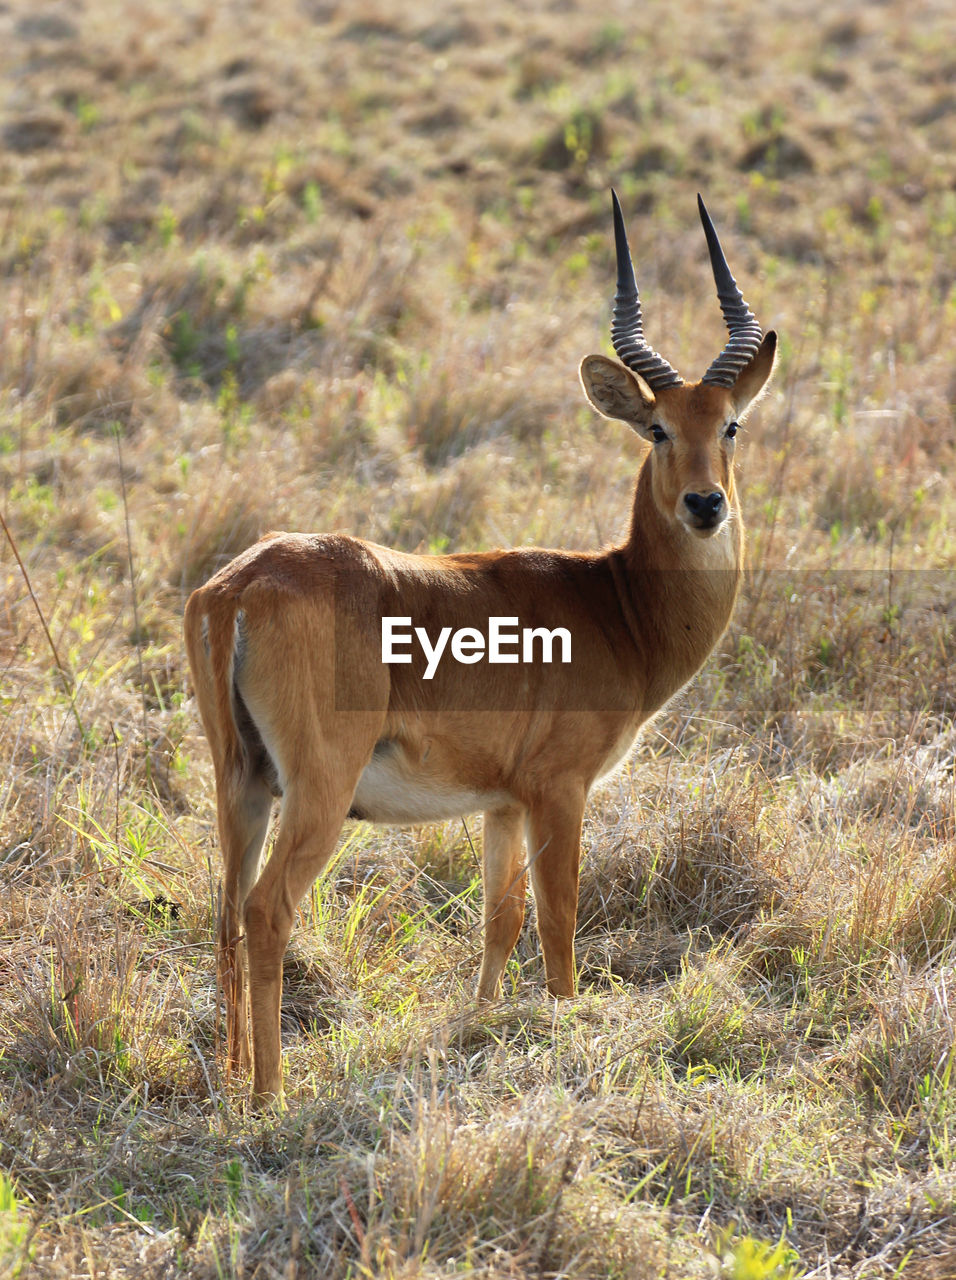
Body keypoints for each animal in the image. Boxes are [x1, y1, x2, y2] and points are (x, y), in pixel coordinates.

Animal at [185, 192, 778, 1100]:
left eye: (732, 425)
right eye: (655, 429)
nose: (706, 504)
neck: (617, 604)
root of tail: (242, 587)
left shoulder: (502, 802)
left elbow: (500, 919)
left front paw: (483, 1025)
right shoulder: (559, 790)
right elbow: (560, 924)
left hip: (240, 782)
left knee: (223, 908)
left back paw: (230, 1074)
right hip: (318, 791)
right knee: (266, 909)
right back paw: (270, 1096)